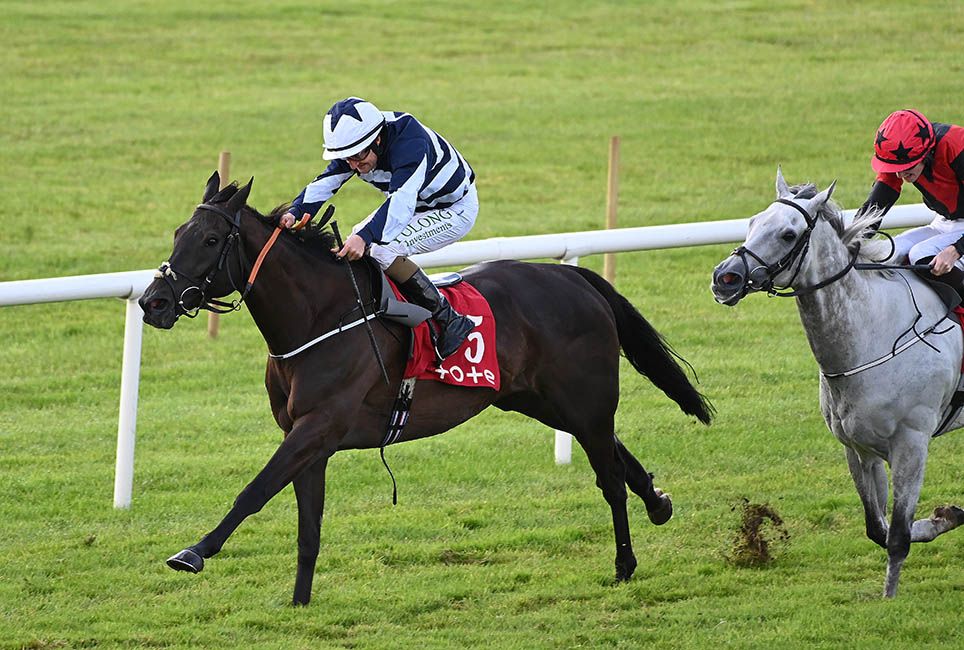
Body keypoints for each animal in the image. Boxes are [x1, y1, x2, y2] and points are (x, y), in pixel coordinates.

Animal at [136, 171, 712, 604]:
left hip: (583, 399)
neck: (321, 318)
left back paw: (625, 563)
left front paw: (192, 552)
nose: (152, 302)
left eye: (211, 240)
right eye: (178, 233)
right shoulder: (308, 439)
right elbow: (308, 527)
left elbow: (253, 491)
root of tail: (574, 277)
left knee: (608, 476)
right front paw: (299, 604)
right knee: (614, 451)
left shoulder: (316, 428)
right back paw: (658, 502)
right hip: (537, 399)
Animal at [708, 170, 964, 596]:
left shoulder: (912, 444)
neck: (873, 331)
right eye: (753, 222)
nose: (725, 278)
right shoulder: (858, 447)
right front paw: (947, 515)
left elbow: (898, 536)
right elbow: (878, 528)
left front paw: (889, 597)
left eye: (789, 234)